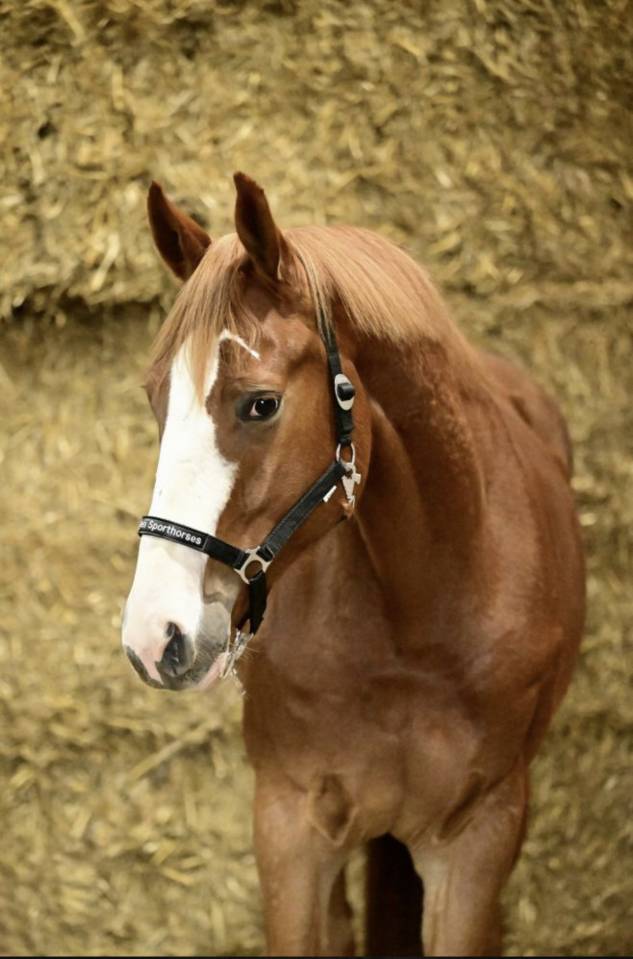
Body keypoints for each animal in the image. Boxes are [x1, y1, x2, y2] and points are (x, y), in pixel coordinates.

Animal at [122, 172, 585, 956]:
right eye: (158, 399)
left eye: (261, 403)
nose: (155, 638)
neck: (418, 619)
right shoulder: (290, 827)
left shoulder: (478, 840)